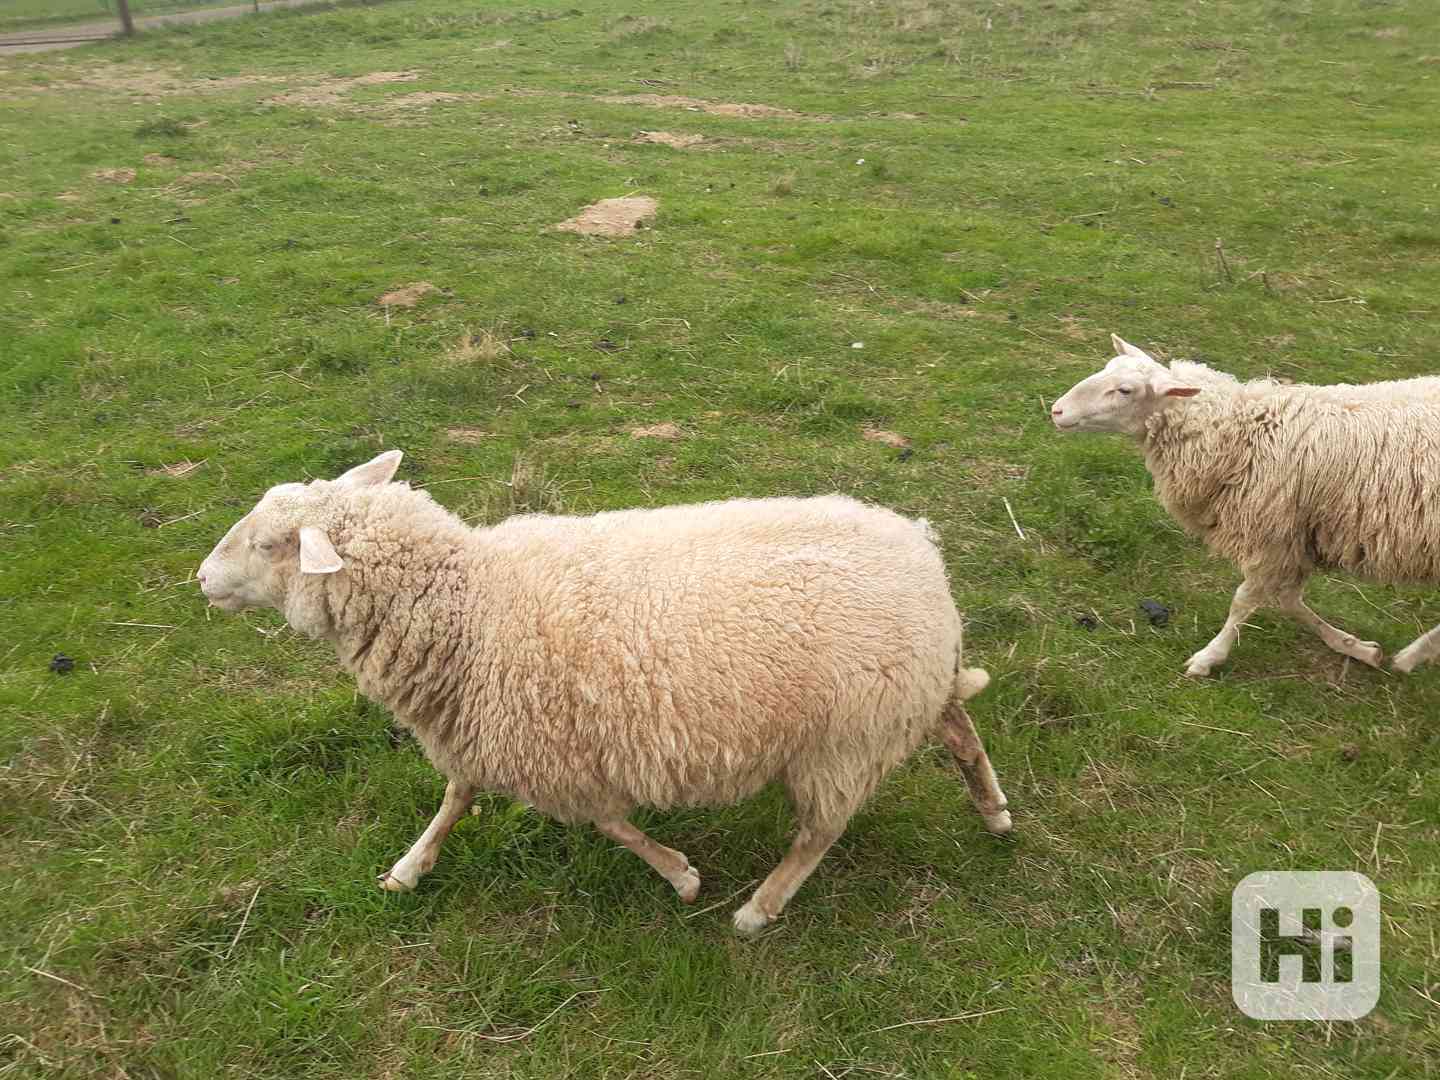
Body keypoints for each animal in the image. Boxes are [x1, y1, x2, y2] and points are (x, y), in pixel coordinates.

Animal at [197, 452, 1013, 933]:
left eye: (268, 546)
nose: (201, 578)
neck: (467, 602)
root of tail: (925, 560)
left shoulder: (554, 752)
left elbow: (612, 825)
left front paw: (682, 877)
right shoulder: (482, 726)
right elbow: (456, 799)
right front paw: (408, 868)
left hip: (842, 741)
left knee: (820, 832)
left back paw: (758, 909)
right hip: (905, 699)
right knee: (960, 730)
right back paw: (994, 810)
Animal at [1054, 336, 1440, 676]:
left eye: (1125, 390)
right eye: (1106, 368)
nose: (1056, 410)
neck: (1241, 430)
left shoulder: (1271, 533)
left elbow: (1243, 601)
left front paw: (1208, 658)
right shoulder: (1295, 539)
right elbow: (1289, 601)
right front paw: (1355, 647)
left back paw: (1411, 656)